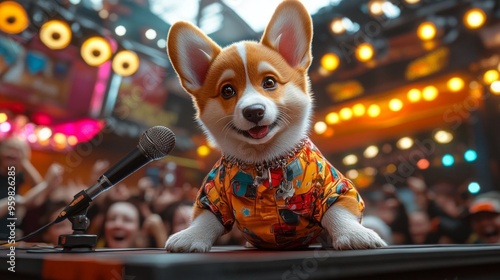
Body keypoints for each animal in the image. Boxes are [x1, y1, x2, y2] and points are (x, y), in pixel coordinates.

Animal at [164, 0, 386, 252]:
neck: (264, 161)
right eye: (227, 90)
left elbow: (337, 212)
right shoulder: (212, 195)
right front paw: (191, 236)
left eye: (269, 82)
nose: (254, 111)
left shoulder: (335, 186)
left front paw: (354, 234)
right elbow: (206, 218)